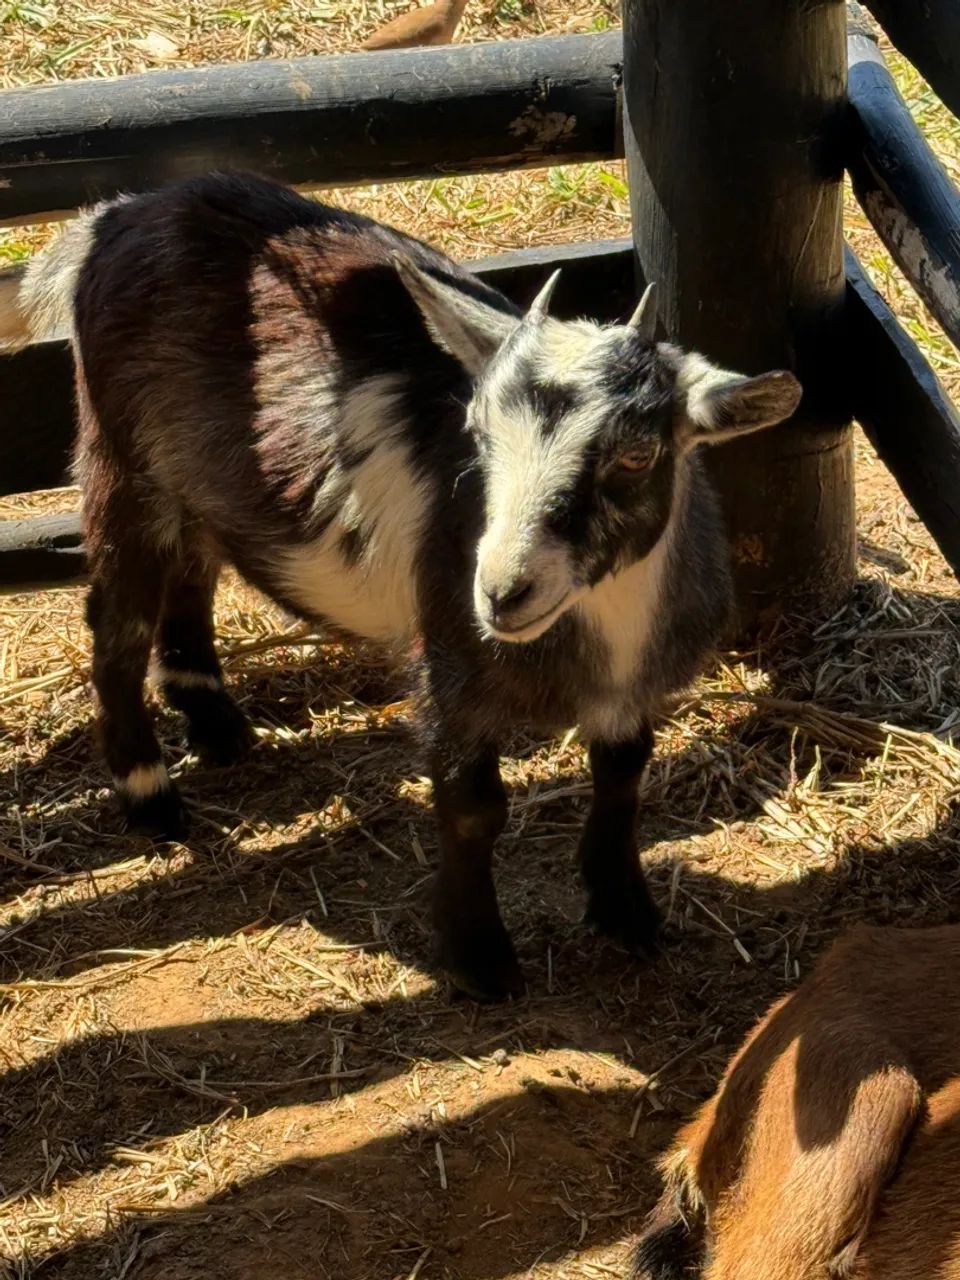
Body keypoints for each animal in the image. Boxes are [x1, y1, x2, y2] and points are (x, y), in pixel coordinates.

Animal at [0, 172, 800, 1000]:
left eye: (637, 456)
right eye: (478, 435)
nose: (501, 593)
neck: (603, 631)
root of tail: (120, 215)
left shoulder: (632, 689)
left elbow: (622, 776)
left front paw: (627, 913)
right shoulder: (450, 670)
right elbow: (474, 808)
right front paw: (481, 958)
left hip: (198, 479)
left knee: (193, 573)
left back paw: (217, 724)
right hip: (120, 459)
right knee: (116, 625)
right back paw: (150, 794)